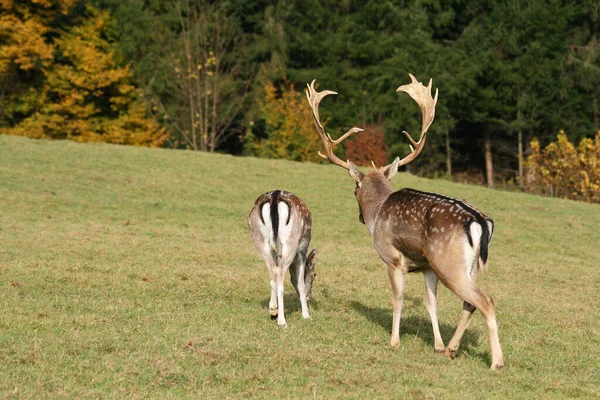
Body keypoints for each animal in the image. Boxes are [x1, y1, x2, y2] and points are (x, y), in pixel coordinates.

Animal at [247, 191, 318, 328]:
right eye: (314, 275)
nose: (309, 296)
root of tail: (275, 197)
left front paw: (273, 310)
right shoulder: (301, 251)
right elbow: (299, 282)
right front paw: (306, 315)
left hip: (259, 240)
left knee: (272, 271)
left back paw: (274, 311)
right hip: (290, 241)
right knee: (279, 273)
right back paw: (282, 321)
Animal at [308, 74, 504, 368]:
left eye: (354, 189)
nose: (359, 216)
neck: (378, 213)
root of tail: (480, 221)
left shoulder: (392, 258)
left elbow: (397, 298)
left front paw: (394, 341)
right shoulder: (427, 267)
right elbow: (430, 302)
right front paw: (437, 345)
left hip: (448, 263)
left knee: (486, 301)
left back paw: (496, 362)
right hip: (465, 266)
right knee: (470, 303)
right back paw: (452, 348)